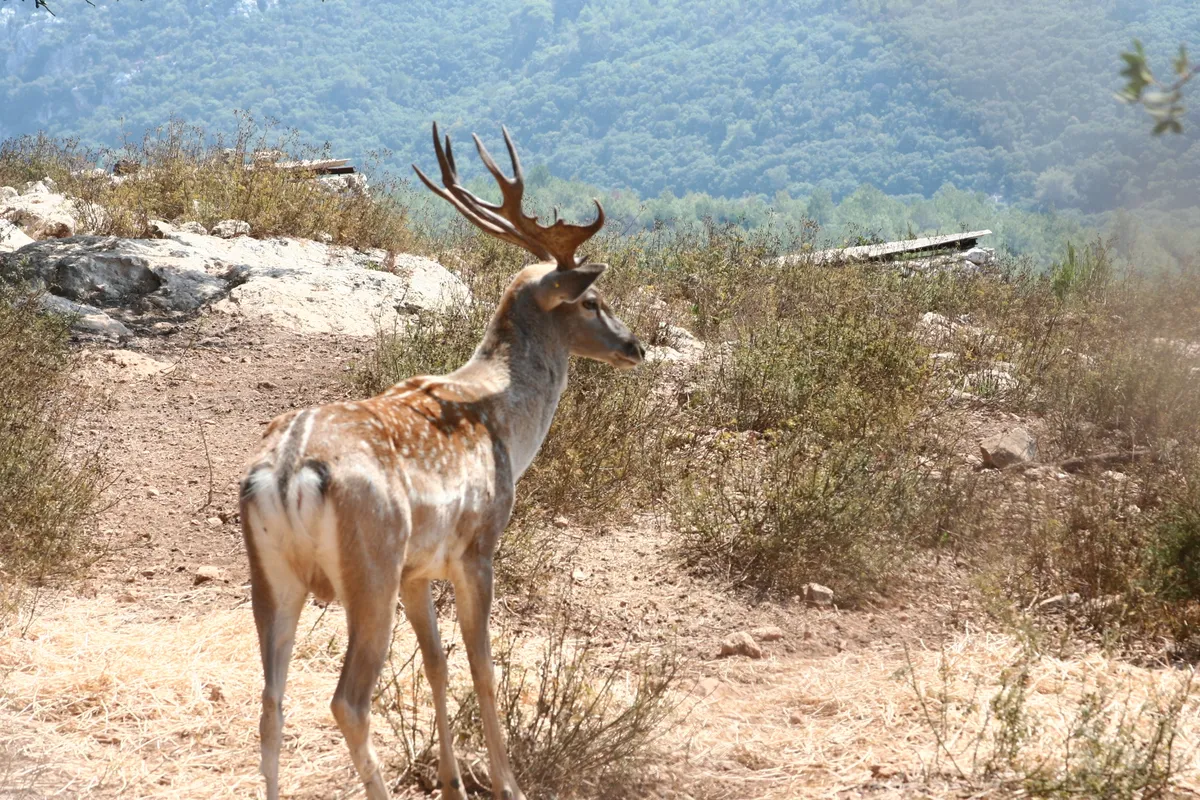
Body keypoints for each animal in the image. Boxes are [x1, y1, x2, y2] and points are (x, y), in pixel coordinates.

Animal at [238, 122, 645, 800]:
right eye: (592, 301)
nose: (636, 346)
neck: (505, 423)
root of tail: (290, 466)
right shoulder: (476, 546)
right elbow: (481, 664)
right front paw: (507, 783)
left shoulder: (416, 570)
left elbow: (436, 664)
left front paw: (453, 781)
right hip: (369, 563)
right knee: (347, 701)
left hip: (271, 574)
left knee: (271, 700)